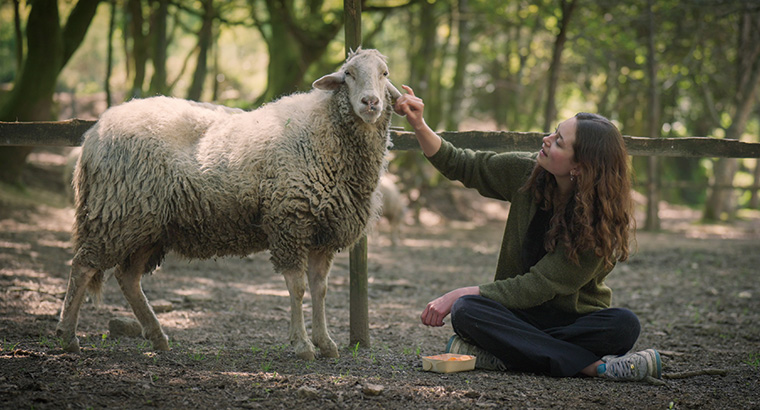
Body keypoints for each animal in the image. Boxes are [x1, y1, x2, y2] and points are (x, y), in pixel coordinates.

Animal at [55, 48, 404, 362]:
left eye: (384, 74)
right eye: (349, 74)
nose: (370, 102)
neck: (325, 135)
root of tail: (94, 132)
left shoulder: (322, 232)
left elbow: (320, 289)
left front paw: (326, 343)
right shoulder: (289, 221)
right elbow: (298, 287)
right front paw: (302, 344)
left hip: (147, 223)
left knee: (127, 278)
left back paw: (157, 337)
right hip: (117, 212)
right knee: (83, 266)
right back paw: (68, 337)